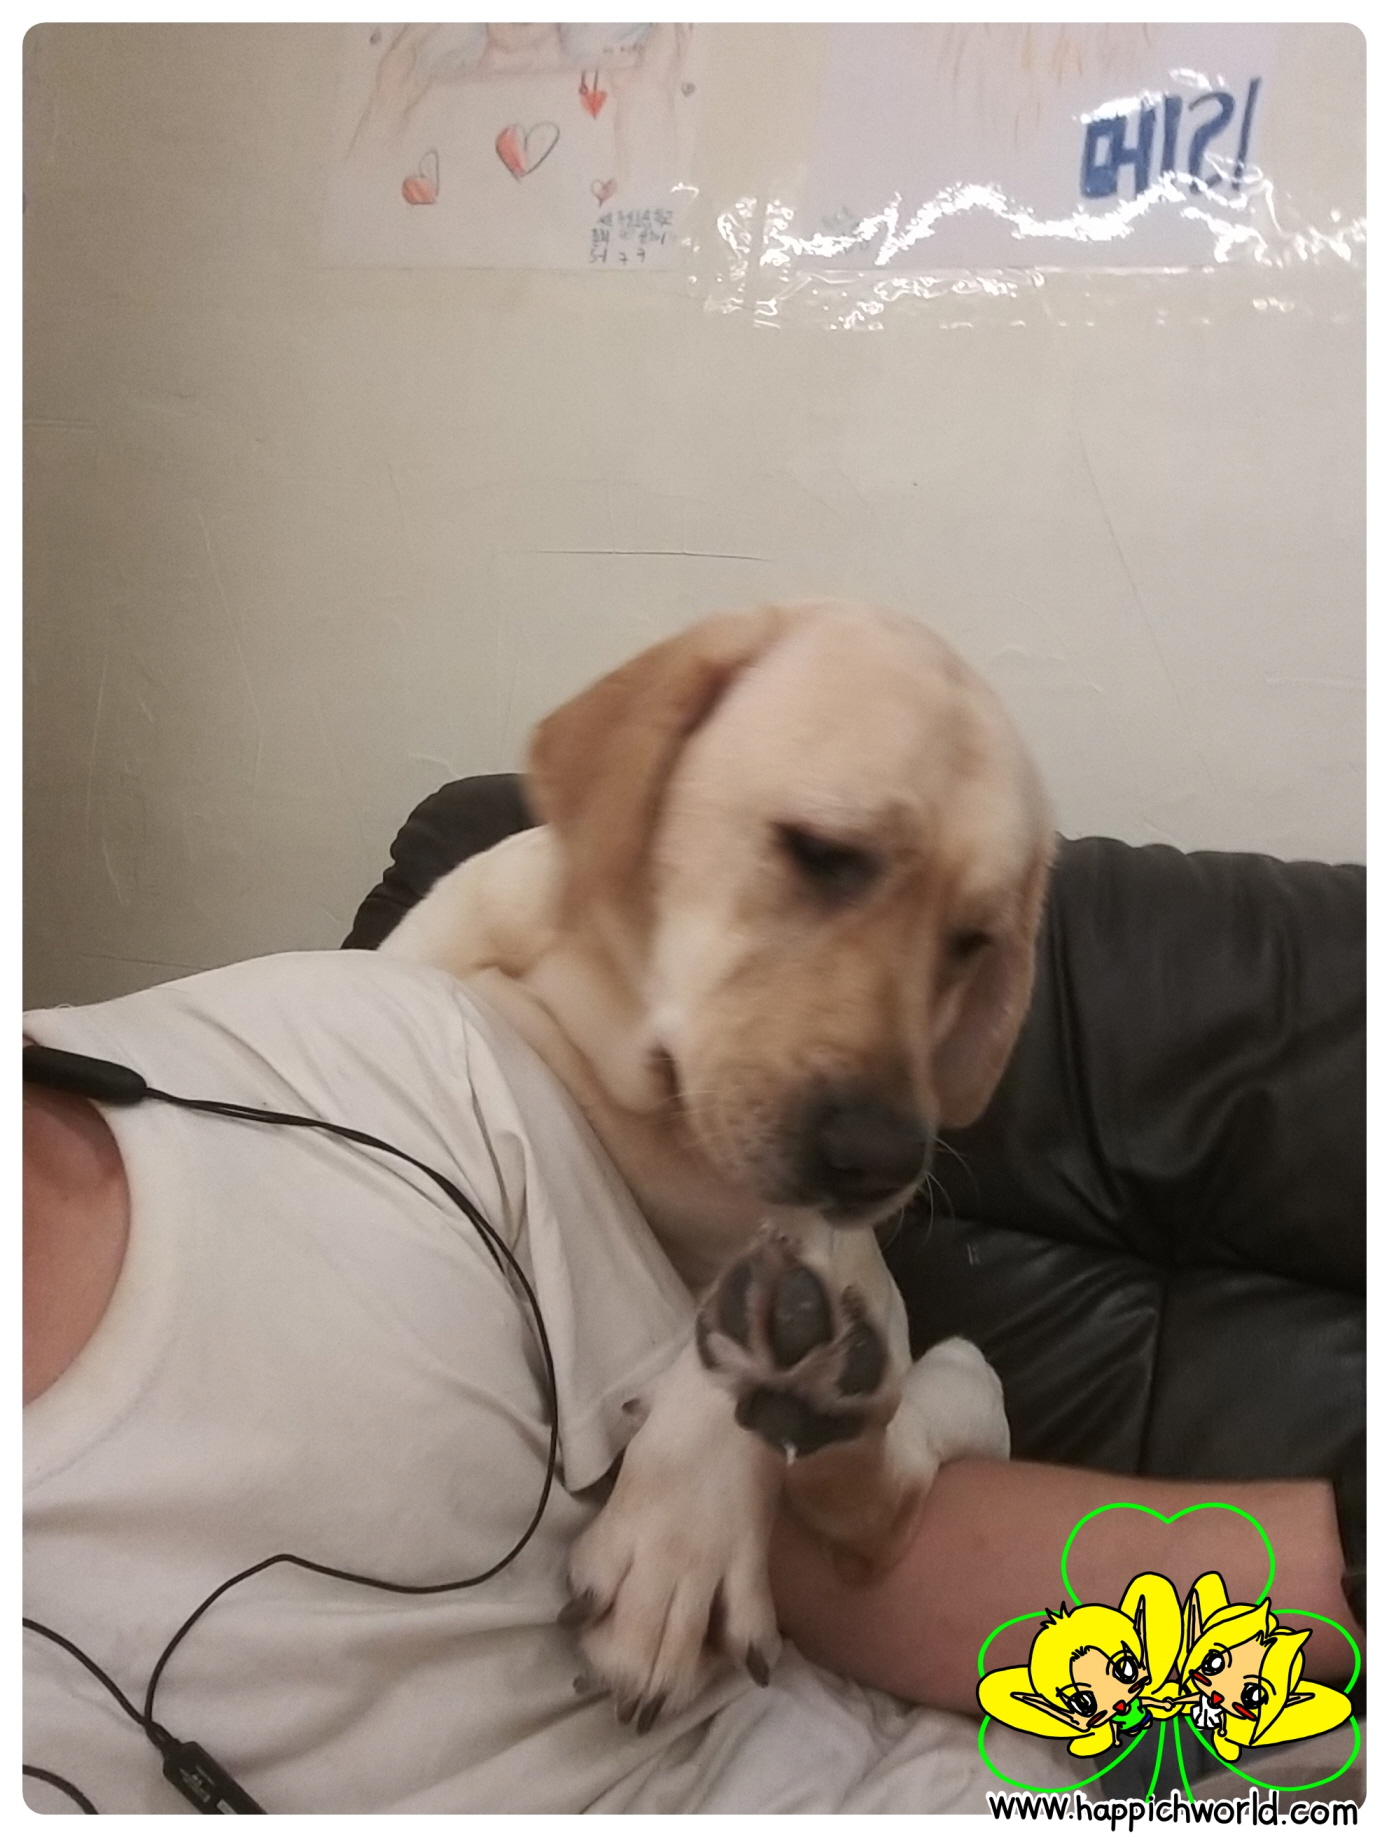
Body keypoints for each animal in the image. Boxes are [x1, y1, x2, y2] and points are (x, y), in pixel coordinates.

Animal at [383, 599, 1053, 1726]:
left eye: (972, 939)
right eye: (822, 852)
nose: (882, 1161)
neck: (657, 1114)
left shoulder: (843, 1255)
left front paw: (677, 1538)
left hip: (951, 1388)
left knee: (888, 1490)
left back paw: (827, 1403)